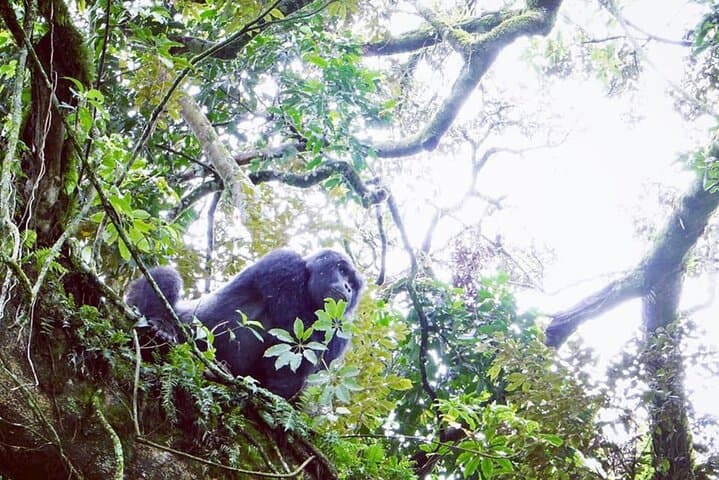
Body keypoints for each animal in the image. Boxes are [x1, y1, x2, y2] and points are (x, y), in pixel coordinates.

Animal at [127, 248, 364, 398]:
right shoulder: (284, 263)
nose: (348, 288)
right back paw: (161, 324)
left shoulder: (342, 327)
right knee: (166, 276)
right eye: (342, 270)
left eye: (353, 283)